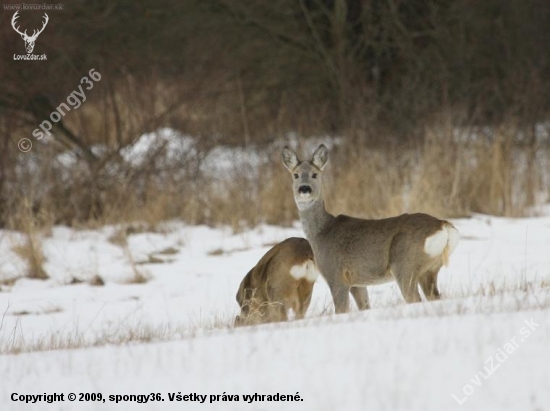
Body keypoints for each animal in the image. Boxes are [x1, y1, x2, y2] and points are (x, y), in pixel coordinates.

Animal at [282, 144, 460, 312]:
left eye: (315, 174)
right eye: (295, 175)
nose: (304, 188)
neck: (321, 232)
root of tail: (443, 225)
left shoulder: (336, 275)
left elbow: (341, 310)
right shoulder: (357, 282)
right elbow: (365, 307)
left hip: (405, 265)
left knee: (414, 298)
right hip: (430, 269)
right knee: (434, 296)